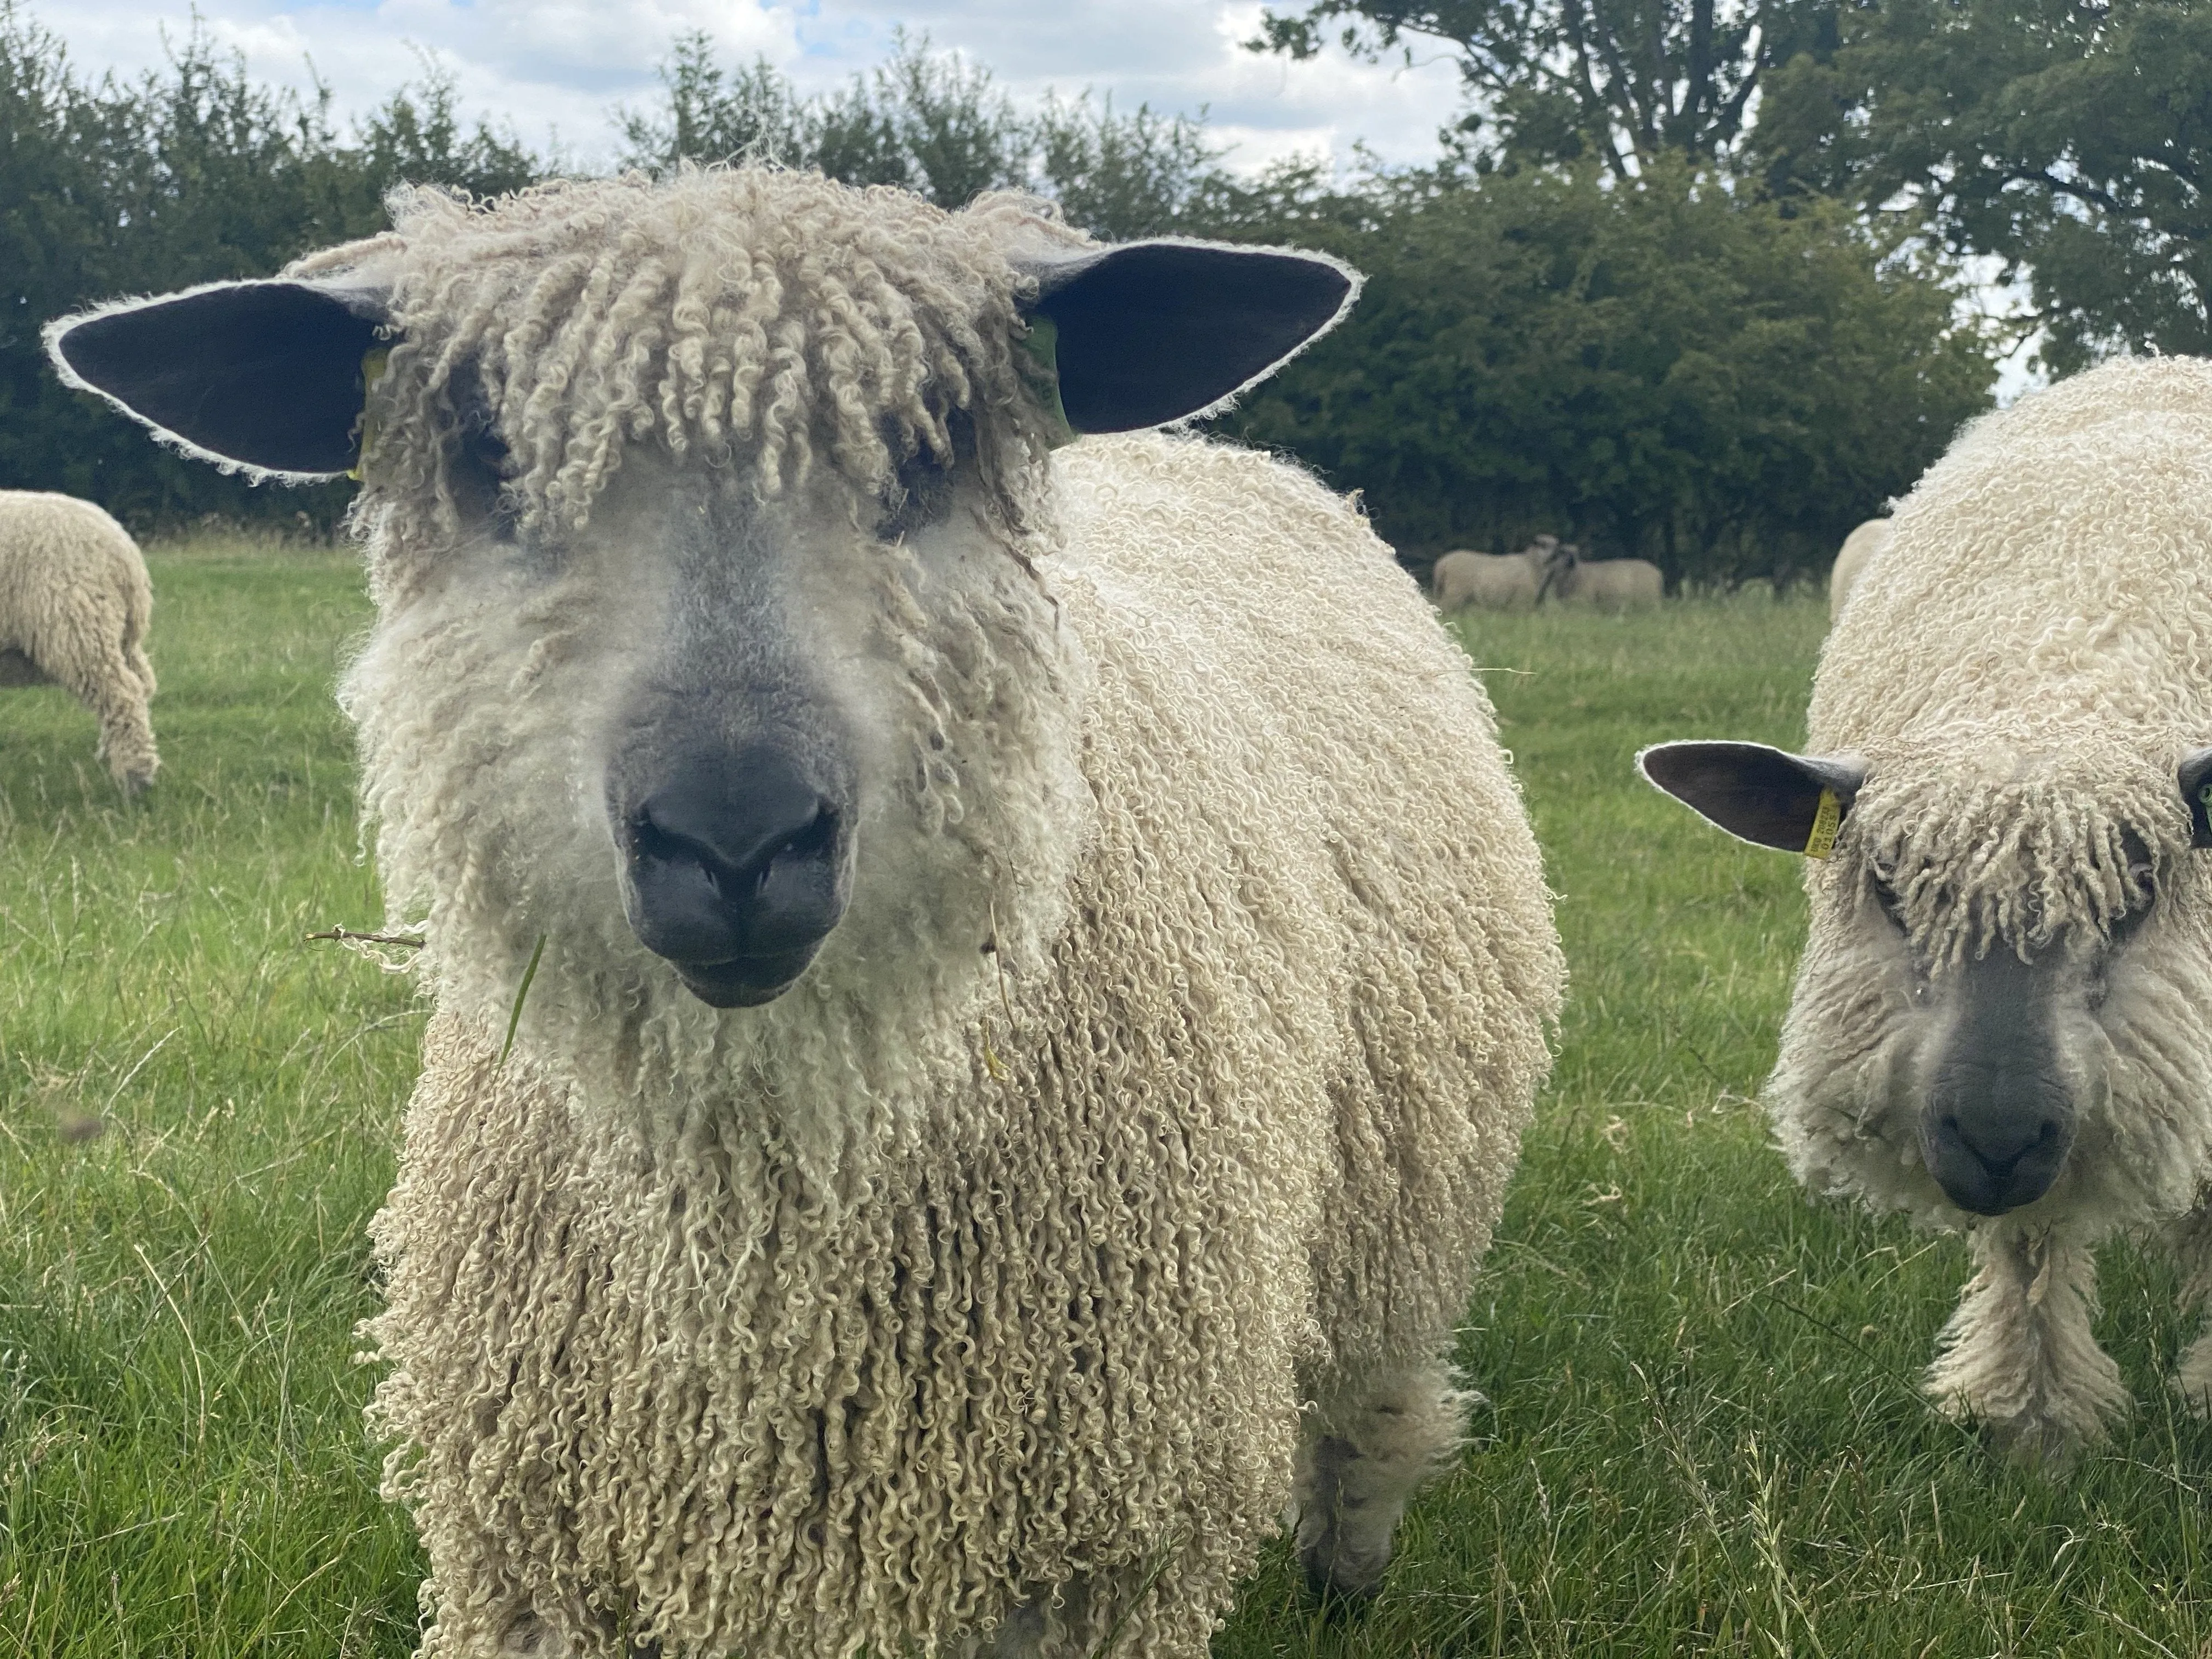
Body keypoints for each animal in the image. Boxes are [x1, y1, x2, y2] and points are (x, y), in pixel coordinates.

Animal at [0, 491, 158, 796]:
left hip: (78, 625)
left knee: (123, 696)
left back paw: (136, 779)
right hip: (119, 636)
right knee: (141, 687)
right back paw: (112, 756)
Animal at [52, 172, 1575, 1659]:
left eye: (929, 450)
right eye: (489, 461)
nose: (736, 838)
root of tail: (1212, 453)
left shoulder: (1100, 1553)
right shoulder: (531, 1543)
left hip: (1402, 1237)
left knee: (1374, 1412)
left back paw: (1345, 1573)